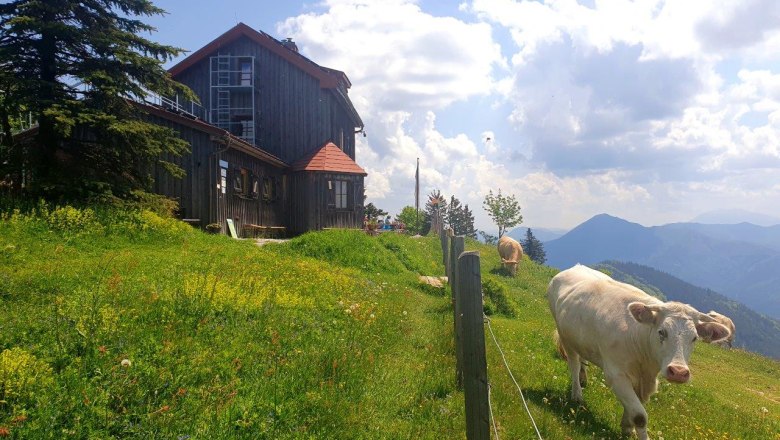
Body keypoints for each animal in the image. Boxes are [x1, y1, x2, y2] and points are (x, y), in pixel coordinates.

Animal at [548, 262, 732, 438]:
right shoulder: (616, 375)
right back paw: (577, 394)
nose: (679, 372)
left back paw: (583, 379)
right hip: (566, 338)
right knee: (574, 364)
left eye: (694, 338)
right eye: (662, 332)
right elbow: (640, 416)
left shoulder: (646, 380)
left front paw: (627, 427)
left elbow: (633, 410)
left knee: (582, 359)